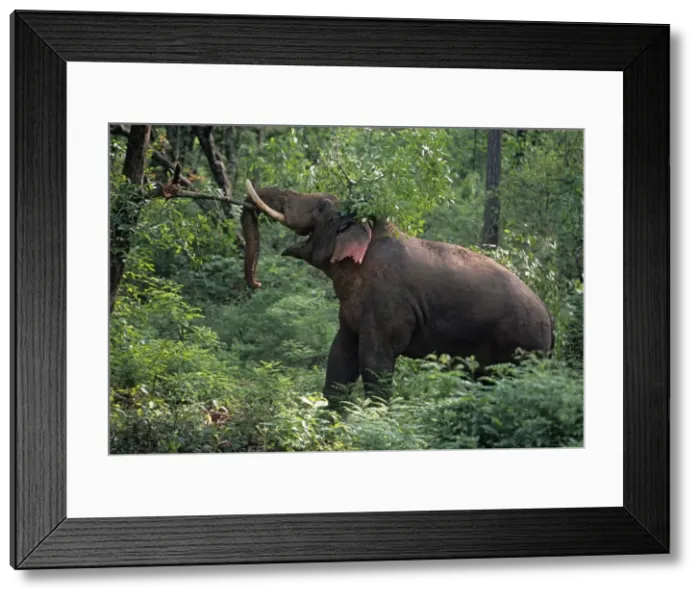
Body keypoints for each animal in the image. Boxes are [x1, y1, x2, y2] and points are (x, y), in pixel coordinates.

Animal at [240, 179, 554, 407]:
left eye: (321, 207)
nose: (256, 284)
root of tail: (551, 323)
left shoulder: (387, 303)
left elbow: (374, 363)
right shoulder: (352, 311)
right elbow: (340, 358)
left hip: (521, 346)